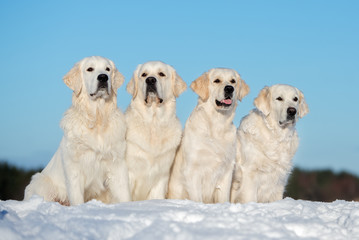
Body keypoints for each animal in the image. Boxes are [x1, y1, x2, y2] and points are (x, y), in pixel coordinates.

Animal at [23, 55, 131, 204]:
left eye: (108, 69)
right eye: (89, 69)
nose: (103, 77)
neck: (97, 119)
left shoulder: (116, 164)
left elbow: (124, 194)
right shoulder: (74, 169)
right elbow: (77, 197)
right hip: (42, 183)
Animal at [125, 60, 187, 201]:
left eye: (161, 74)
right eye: (144, 74)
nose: (150, 80)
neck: (153, 123)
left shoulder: (161, 176)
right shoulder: (129, 172)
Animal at [169, 67, 250, 202]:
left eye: (233, 81)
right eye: (216, 80)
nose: (229, 88)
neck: (217, 124)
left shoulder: (226, 171)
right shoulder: (193, 170)